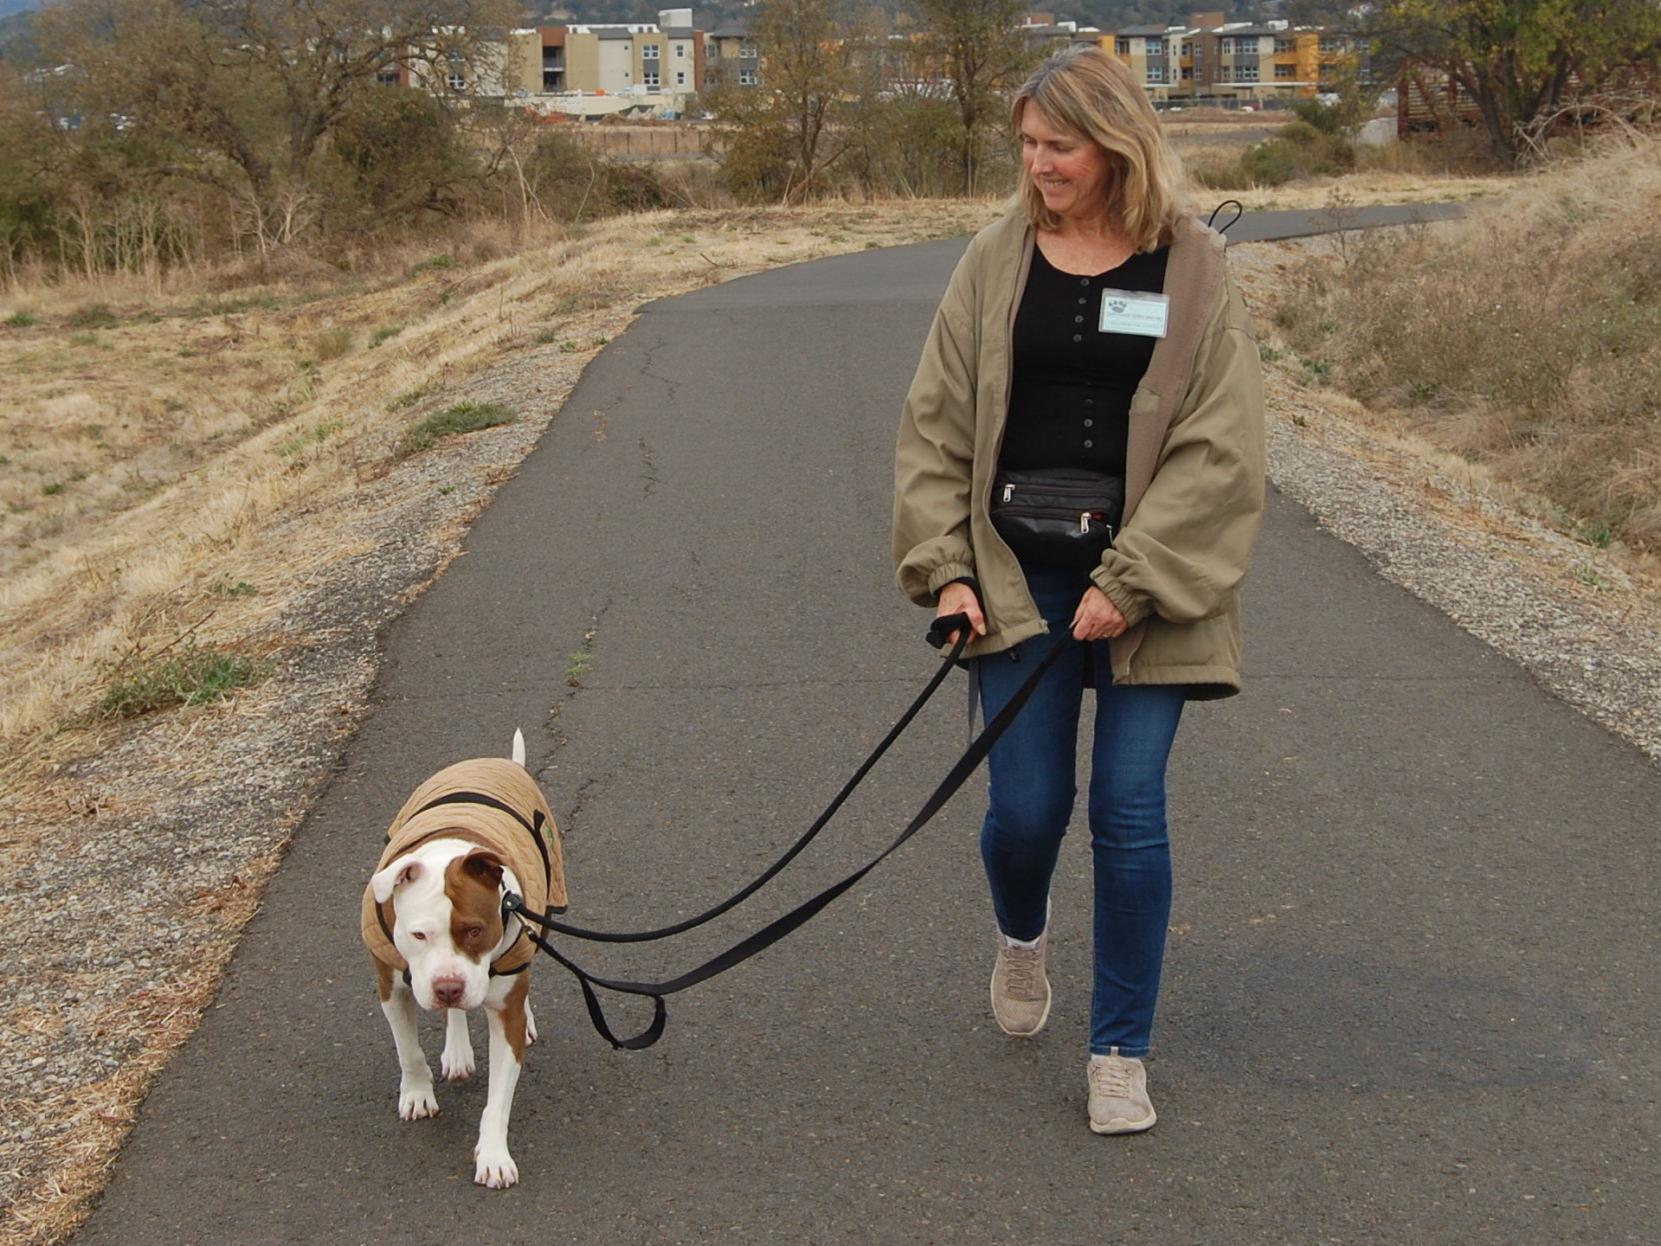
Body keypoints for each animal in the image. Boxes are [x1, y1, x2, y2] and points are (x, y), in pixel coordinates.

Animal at [360, 730, 568, 1189]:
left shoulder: (504, 1012)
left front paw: (493, 1156)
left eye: (475, 930)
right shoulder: (391, 987)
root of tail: (498, 761)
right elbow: (408, 1050)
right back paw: (456, 1049)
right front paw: (417, 1093)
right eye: (418, 934)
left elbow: (498, 1100)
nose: (448, 987)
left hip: (545, 909)